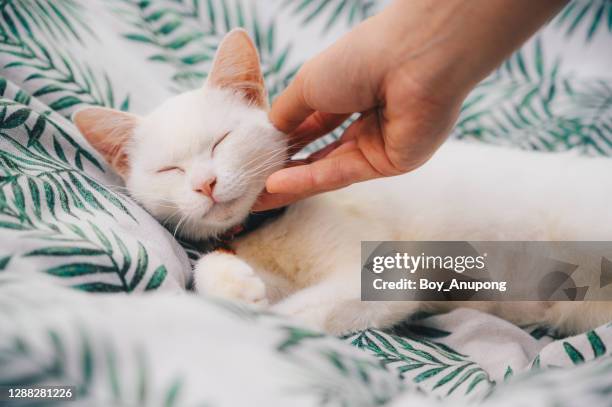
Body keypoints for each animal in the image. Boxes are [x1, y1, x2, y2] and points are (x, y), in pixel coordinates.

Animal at [73, 28, 612, 334]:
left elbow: (308, 311)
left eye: (221, 141)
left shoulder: (382, 276)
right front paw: (231, 285)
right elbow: (218, 274)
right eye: (170, 170)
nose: (204, 183)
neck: (267, 230)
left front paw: (261, 324)